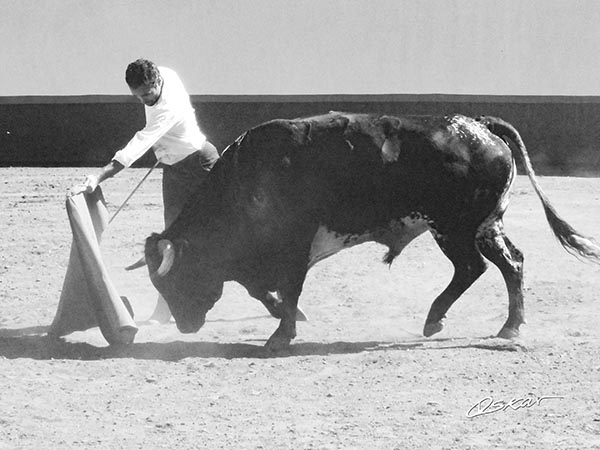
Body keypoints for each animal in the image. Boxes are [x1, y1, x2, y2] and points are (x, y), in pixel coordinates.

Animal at [142, 110, 600, 350]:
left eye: (177, 280)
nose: (184, 326)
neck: (250, 180)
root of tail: (478, 125)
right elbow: (262, 290)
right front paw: (285, 322)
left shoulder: (294, 249)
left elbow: (288, 290)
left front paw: (281, 335)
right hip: (485, 226)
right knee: (510, 264)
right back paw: (506, 326)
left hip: (454, 228)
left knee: (475, 268)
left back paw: (446, 322)